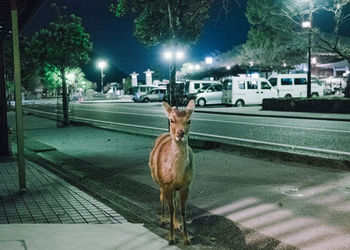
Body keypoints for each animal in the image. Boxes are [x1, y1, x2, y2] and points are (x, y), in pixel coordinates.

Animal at [148, 99, 196, 244]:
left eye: (189, 120)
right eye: (171, 120)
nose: (180, 133)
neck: (177, 175)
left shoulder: (187, 185)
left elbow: (182, 209)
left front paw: (186, 238)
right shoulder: (166, 184)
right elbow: (171, 208)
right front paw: (171, 238)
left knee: (175, 202)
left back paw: (176, 225)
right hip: (159, 182)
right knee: (161, 198)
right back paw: (163, 220)